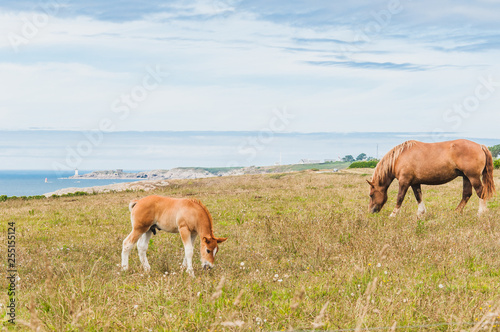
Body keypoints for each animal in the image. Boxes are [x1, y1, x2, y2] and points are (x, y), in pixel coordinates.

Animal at [368, 139, 496, 218]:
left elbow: (399, 198)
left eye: (371, 195)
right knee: (466, 194)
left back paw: (481, 213)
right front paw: (420, 213)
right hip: (466, 177)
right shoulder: (414, 183)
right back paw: (456, 212)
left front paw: (393, 215)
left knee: (480, 192)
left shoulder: (404, 181)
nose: (371, 212)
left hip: (473, 177)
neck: (399, 157)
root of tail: (480, 146)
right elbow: (418, 196)